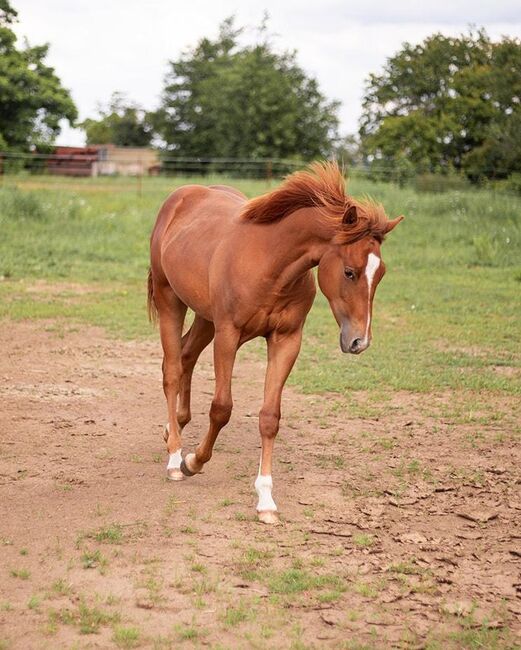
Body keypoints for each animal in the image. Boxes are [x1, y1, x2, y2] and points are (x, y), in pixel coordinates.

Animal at [146, 162, 402, 520]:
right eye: (350, 272)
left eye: (380, 275)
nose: (359, 341)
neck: (270, 262)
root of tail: (182, 196)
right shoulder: (228, 335)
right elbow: (221, 408)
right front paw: (193, 461)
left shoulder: (286, 340)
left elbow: (270, 417)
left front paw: (265, 499)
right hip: (171, 299)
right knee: (171, 369)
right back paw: (173, 456)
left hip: (205, 317)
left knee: (185, 356)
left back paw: (175, 428)